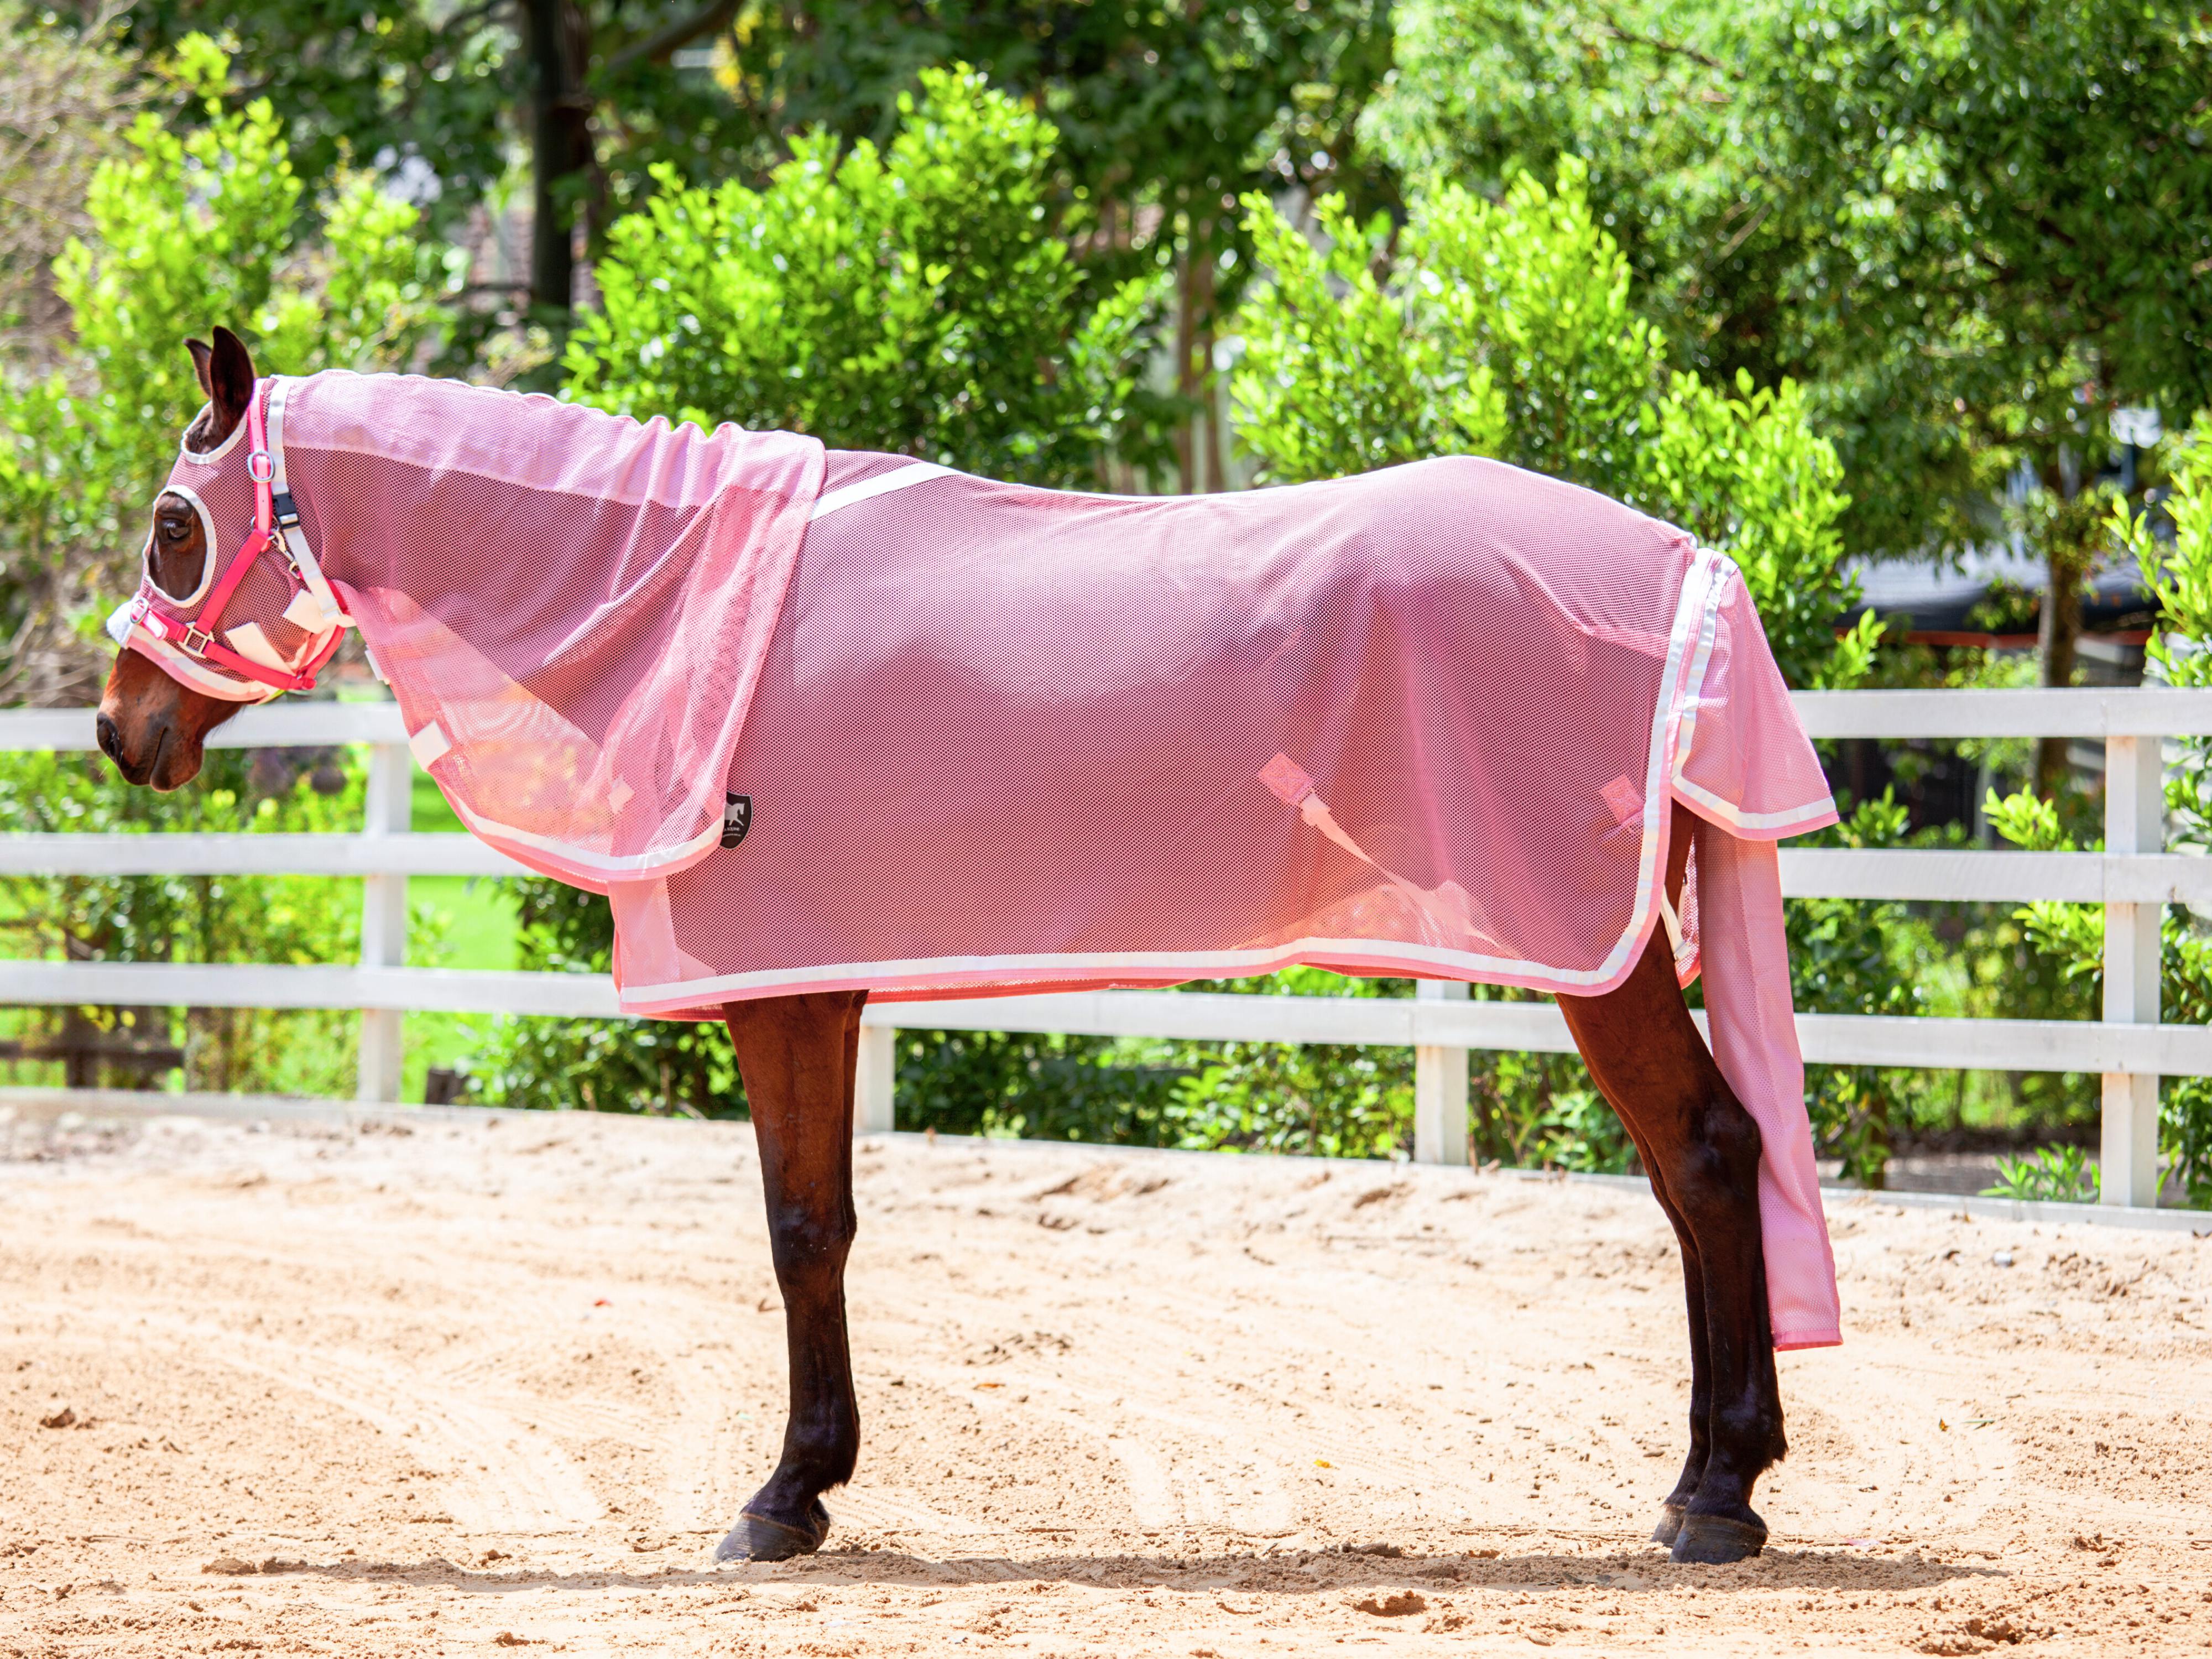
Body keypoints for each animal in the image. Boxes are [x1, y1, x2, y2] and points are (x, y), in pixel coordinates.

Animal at [95, 327, 1832, 1575]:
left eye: (177, 526)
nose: (120, 729)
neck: (687, 607)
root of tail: (1683, 566)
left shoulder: (788, 988)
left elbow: (803, 1230)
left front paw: (784, 1498)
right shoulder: (814, 988)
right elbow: (822, 1224)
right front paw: (808, 1484)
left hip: (1600, 955)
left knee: (1704, 1156)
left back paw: (1713, 1496)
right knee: (1701, 1165)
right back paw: (1713, 1477)